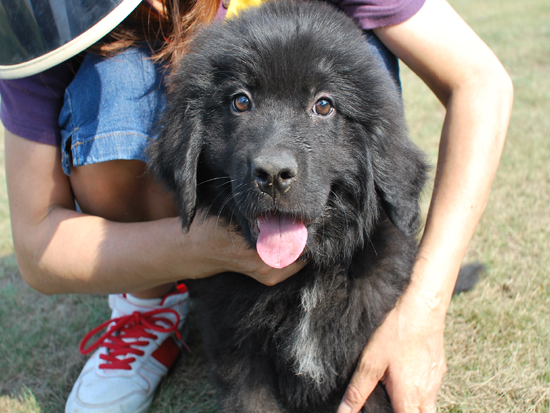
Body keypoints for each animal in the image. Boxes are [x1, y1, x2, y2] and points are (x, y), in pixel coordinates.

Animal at [148, 1, 452, 410]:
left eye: (323, 105)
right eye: (240, 101)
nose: (273, 174)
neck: (308, 280)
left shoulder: (369, 360)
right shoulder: (238, 354)